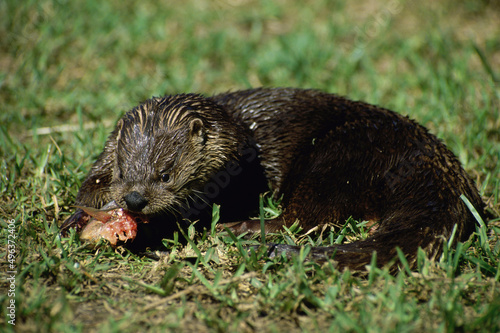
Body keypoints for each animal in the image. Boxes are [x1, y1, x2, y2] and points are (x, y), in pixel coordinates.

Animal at [60, 87, 486, 270]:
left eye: (166, 174)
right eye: (122, 171)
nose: (134, 201)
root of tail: (423, 154)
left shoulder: (233, 182)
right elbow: (90, 185)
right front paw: (78, 218)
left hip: (336, 156)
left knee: (308, 217)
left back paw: (239, 230)